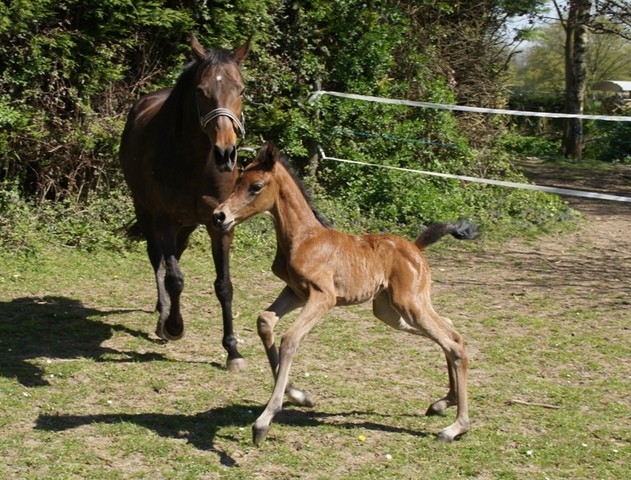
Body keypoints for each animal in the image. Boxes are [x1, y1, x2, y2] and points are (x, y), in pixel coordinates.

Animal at [119, 35, 251, 372]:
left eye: (241, 90)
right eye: (201, 91)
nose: (225, 153)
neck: (195, 162)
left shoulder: (220, 225)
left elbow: (224, 285)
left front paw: (232, 350)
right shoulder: (164, 220)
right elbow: (174, 277)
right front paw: (173, 326)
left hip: (188, 225)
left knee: (175, 254)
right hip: (146, 211)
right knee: (158, 260)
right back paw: (163, 314)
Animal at [214, 141, 478, 444]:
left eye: (256, 186)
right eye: (237, 181)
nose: (219, 216)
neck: (304, 238)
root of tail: (416, 247)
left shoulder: (323, 296)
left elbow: (290, 338)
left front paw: (264, 421)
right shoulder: (295, 291)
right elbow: (265, 321)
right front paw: (300, 396)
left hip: (409, 303)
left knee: (453, 343)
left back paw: (456, 427)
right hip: (389, 311)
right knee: (449, 330)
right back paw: (443, 403)